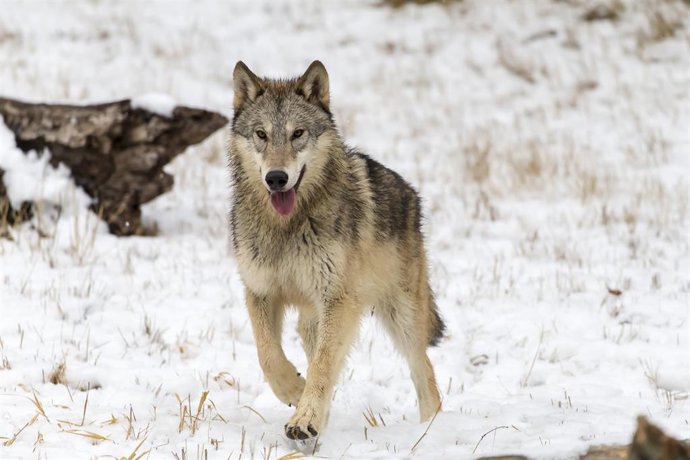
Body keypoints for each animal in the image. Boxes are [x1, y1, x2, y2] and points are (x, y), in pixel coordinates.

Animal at [228, 60, 445, 441]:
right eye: (261, 134)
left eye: (298, 133)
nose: (276, 178)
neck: (286, 227)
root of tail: (410, 193)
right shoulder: (260, 291)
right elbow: (268, 355)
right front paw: (294, 391)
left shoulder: (338, 300)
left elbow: (323, 365)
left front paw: (304, 418)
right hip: (313, 320)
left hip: (400, 316)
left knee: (424, 371)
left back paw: (430, 430)